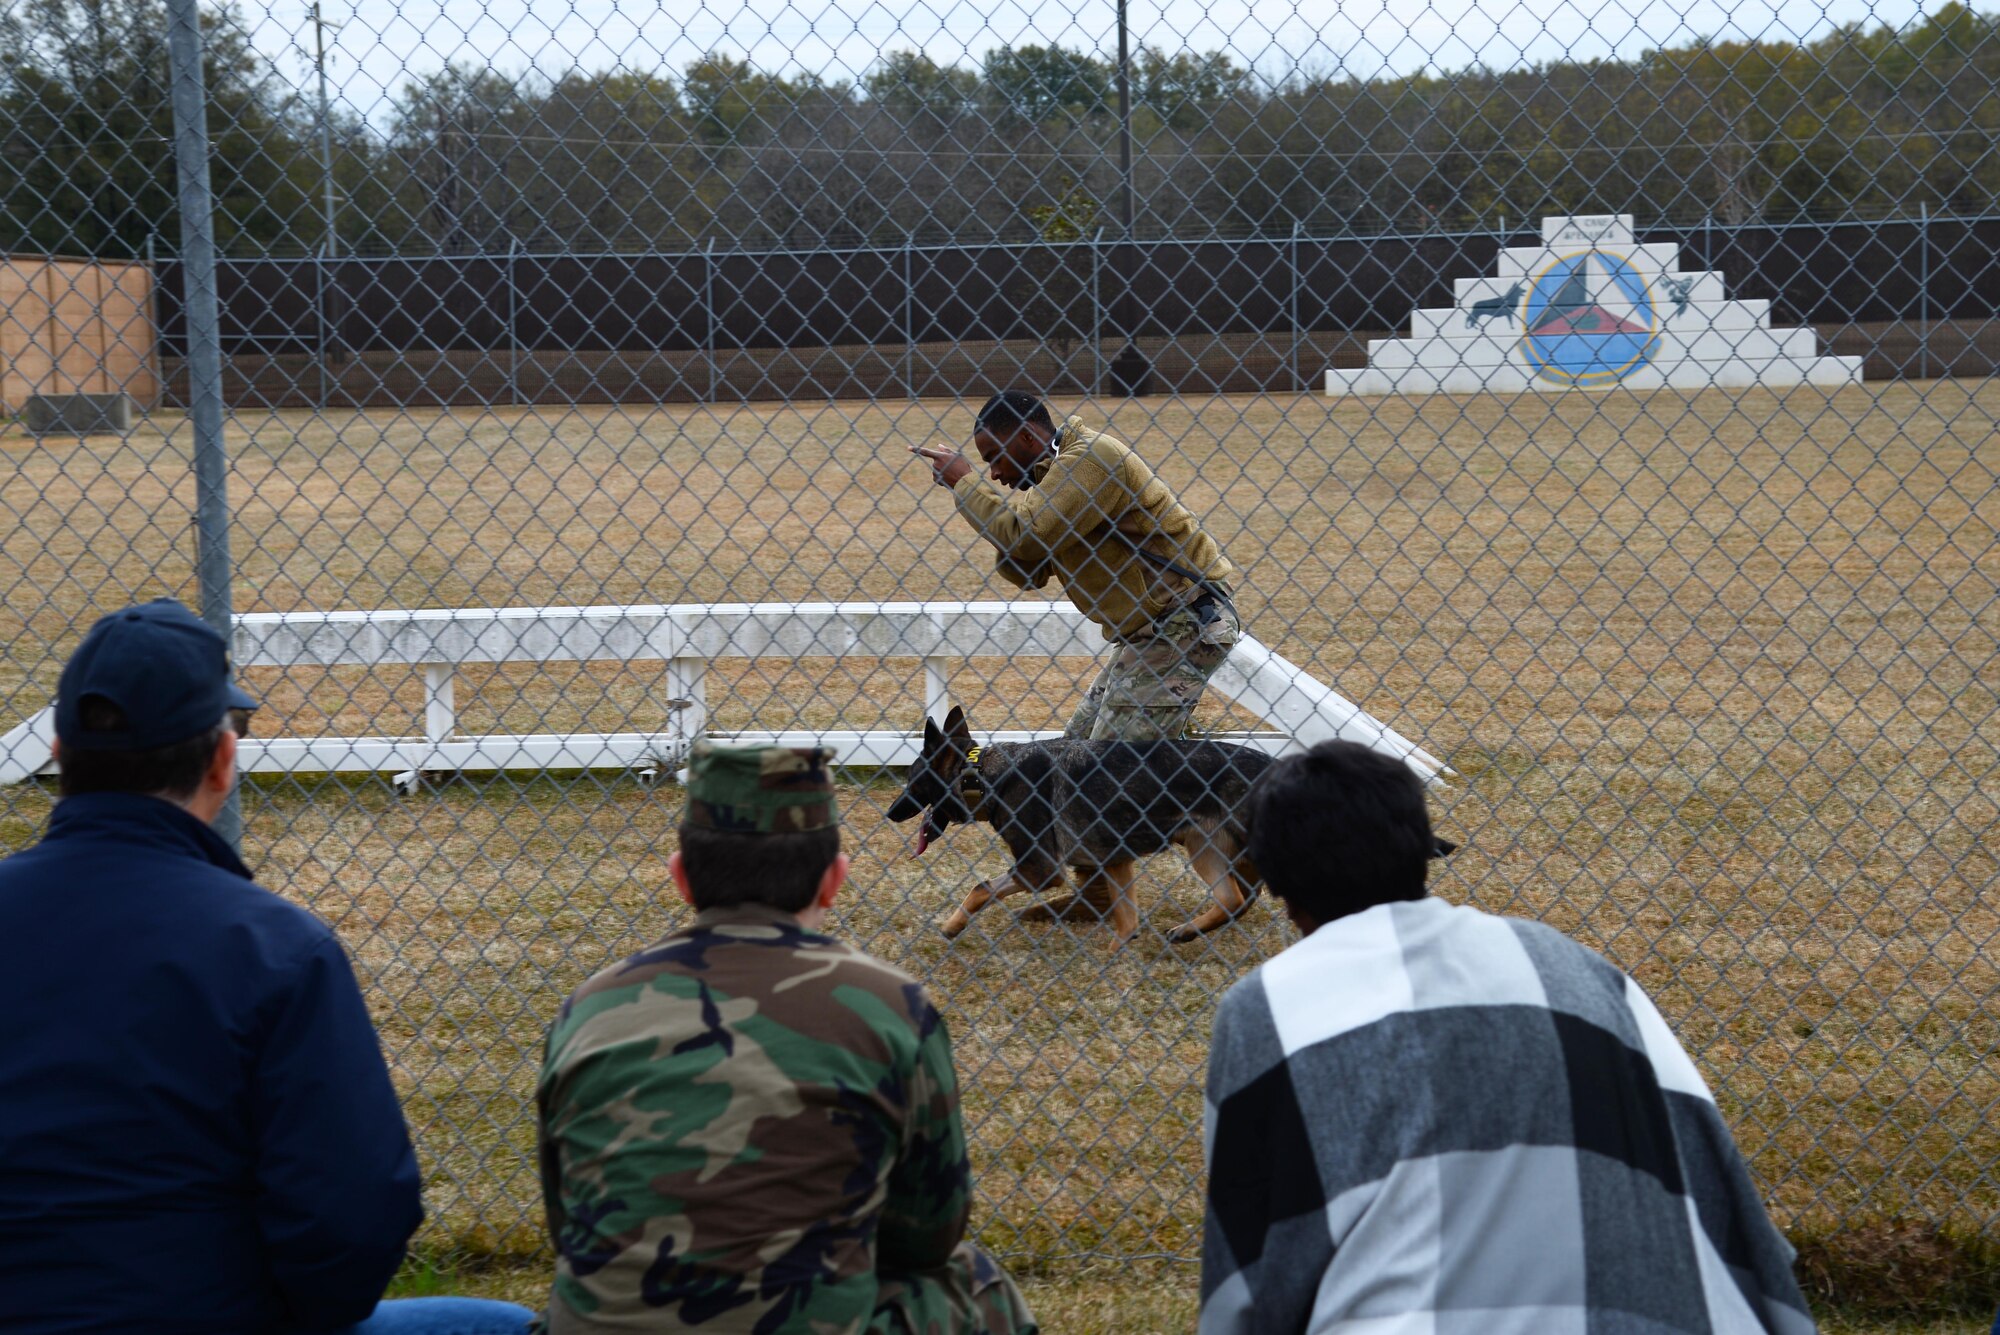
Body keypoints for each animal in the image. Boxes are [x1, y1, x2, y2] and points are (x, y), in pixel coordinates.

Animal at [896, 707, 1280, 939]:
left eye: (912, 782)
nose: (890, 813)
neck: (980, 775)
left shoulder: (1040, 869)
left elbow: (980, 888)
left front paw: (951, 926)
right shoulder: (1111, 860)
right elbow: (1126, 920)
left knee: (1237, 897)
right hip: (1206, 846)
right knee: (1235, 898)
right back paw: (1188, 931)